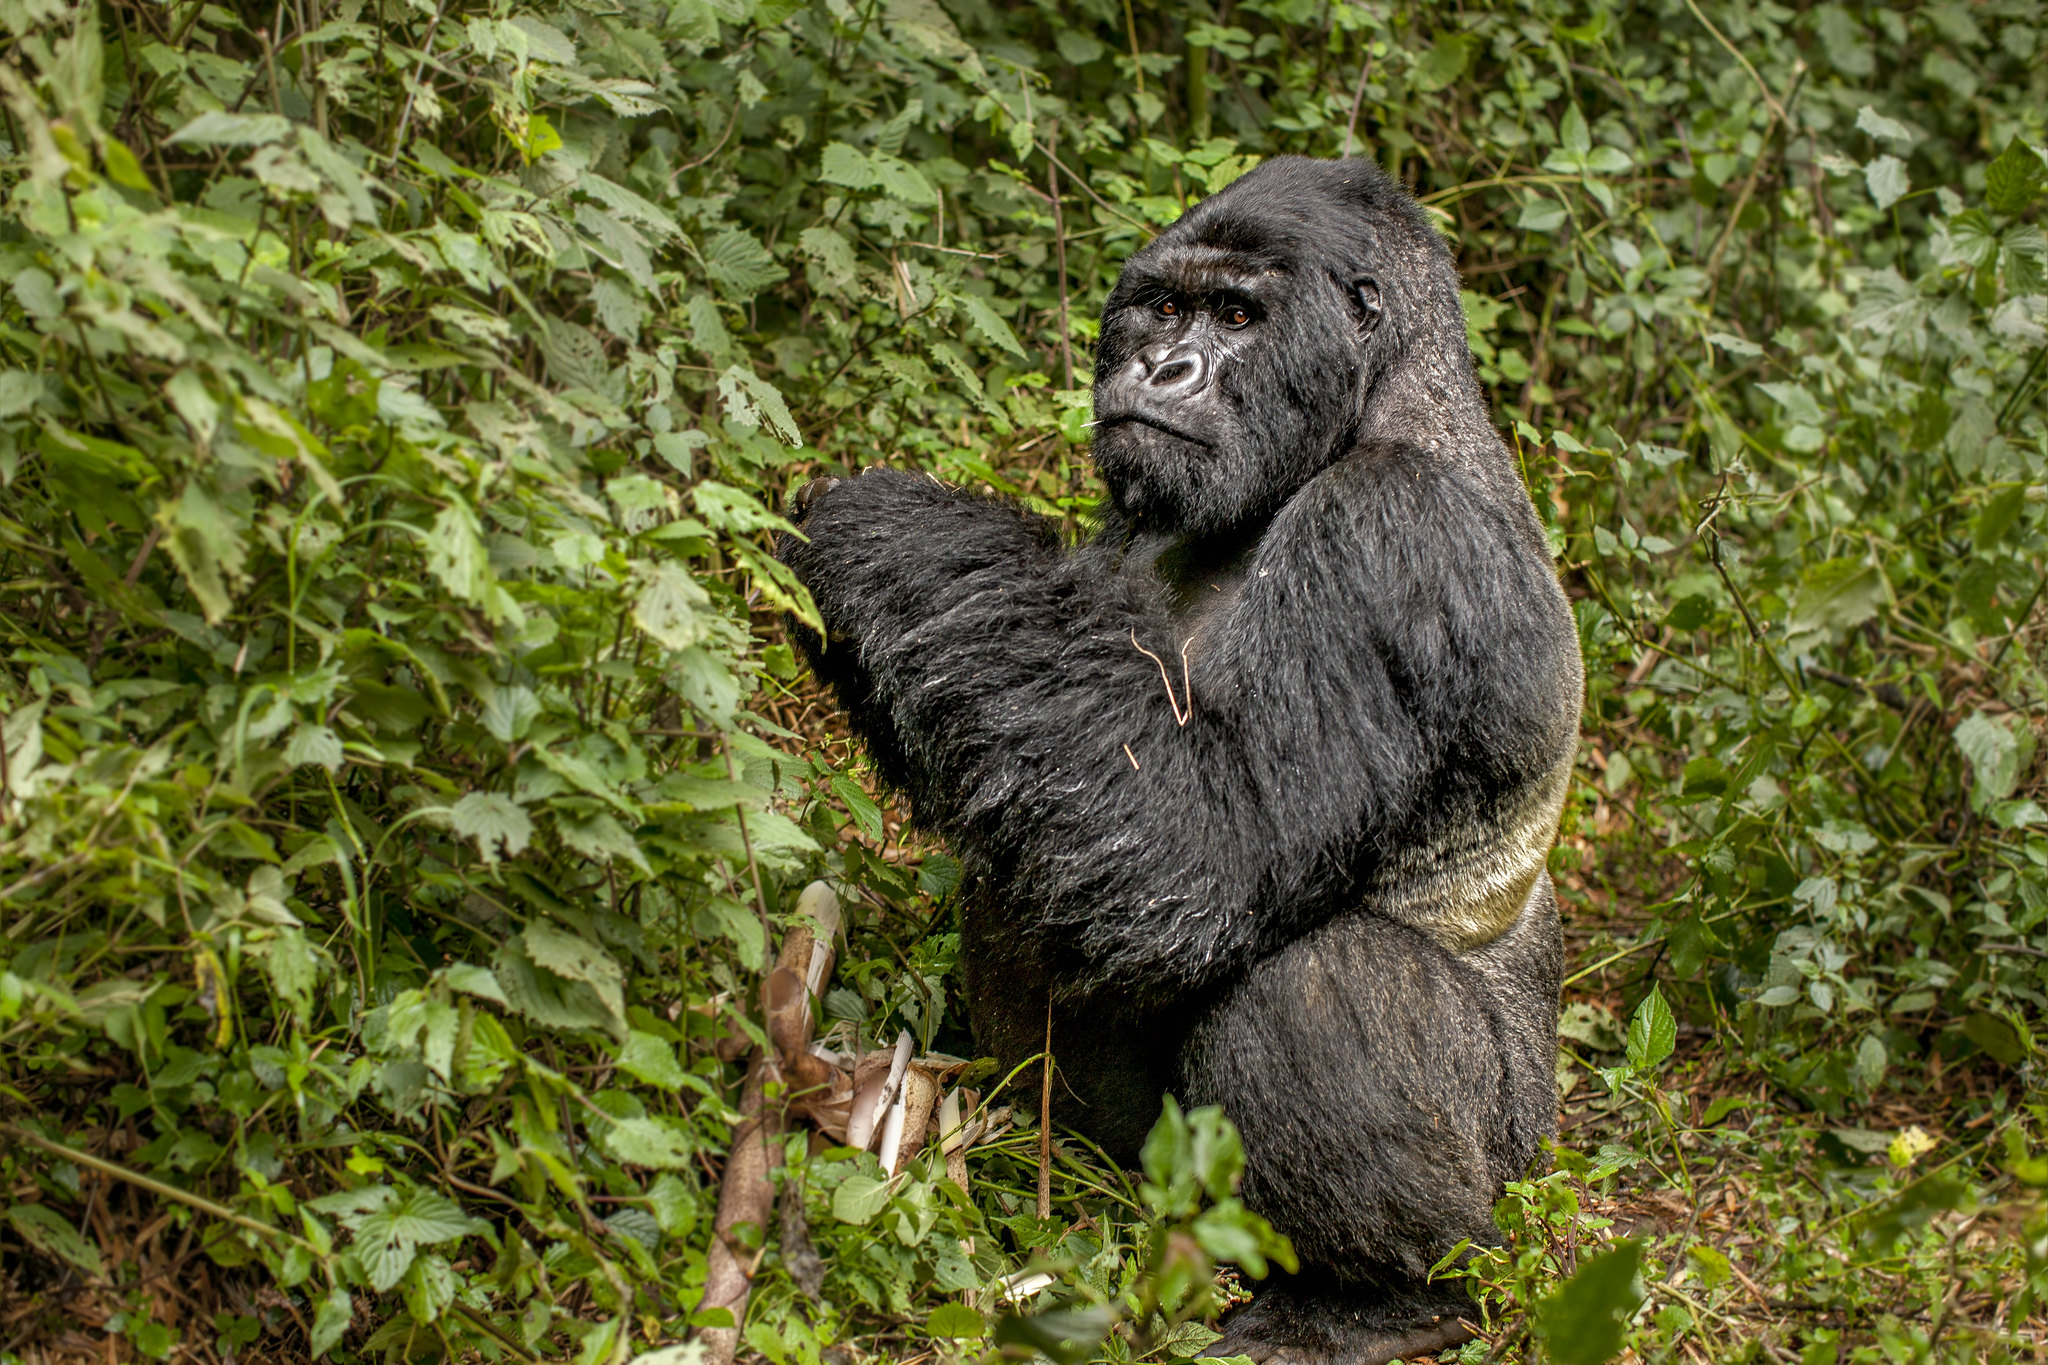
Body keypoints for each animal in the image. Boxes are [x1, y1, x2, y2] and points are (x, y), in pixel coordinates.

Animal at [778, 160, 1581, 1365]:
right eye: (1163, 308)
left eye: (1237, 318)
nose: (1161, 369)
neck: (1375, 405)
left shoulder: (1394, 530)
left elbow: (1198, 847)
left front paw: (882, 528)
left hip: (1515, 1169)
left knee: (1314, 986)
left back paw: (1384, 1302)